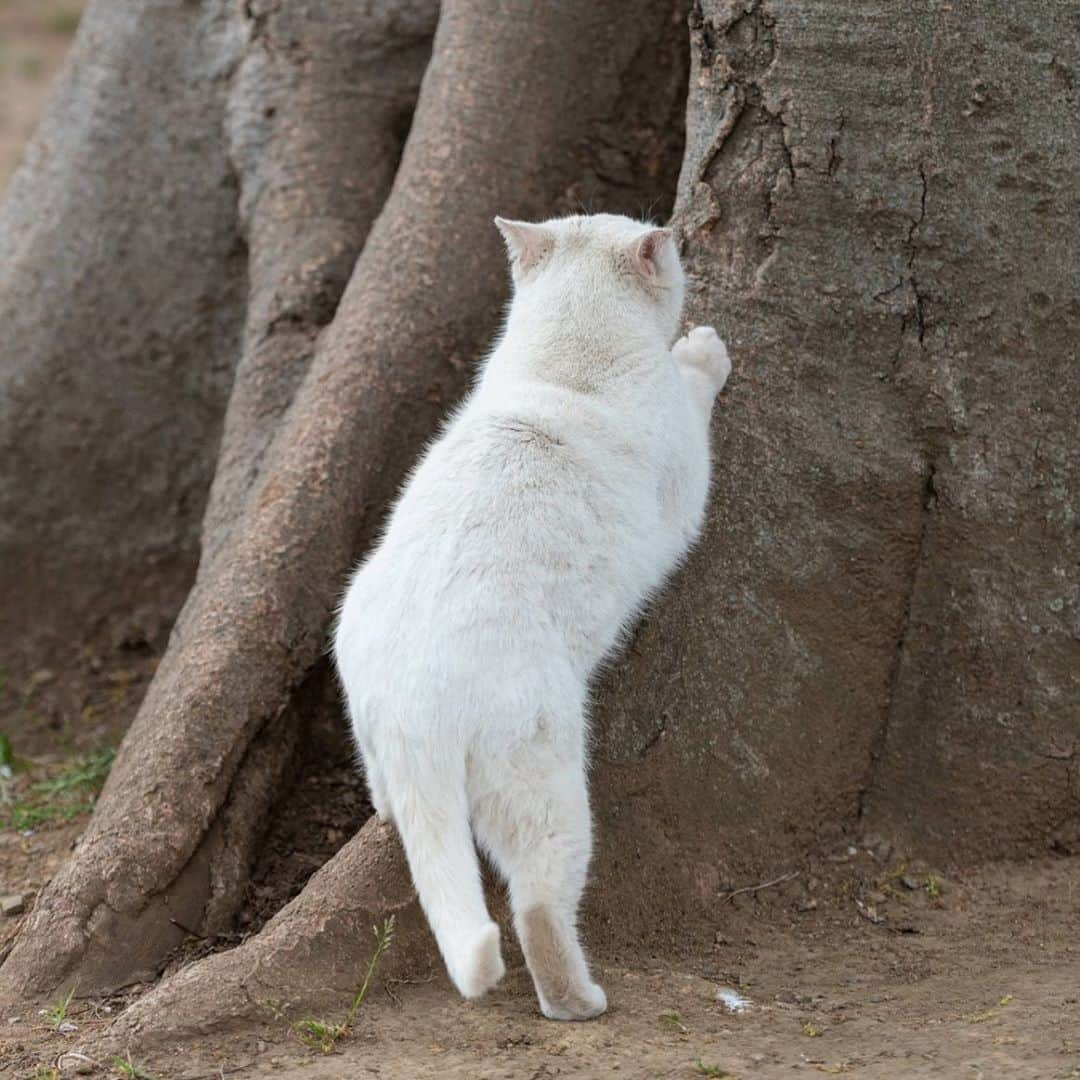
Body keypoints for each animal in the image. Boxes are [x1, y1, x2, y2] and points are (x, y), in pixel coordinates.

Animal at [332, 212, 730, 1019]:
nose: (678, 237)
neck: (564, 360)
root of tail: (409, 704)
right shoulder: (686, 481)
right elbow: (696, 386)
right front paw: (704, 349)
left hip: (363, 695)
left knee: (389, 797)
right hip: (544, 779)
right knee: (538, 906)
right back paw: (579, 1000)